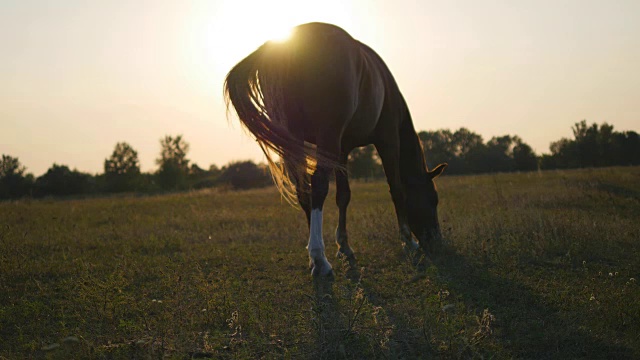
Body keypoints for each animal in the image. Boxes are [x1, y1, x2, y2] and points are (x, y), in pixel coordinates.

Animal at [224, 22, 444, 276]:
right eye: (433, 199)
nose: (436, 242)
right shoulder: (388, 141)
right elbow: (396, 189)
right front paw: (408, 241)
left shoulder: (342, 151)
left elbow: (343, 196)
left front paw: (344, 246)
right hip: (327, 135)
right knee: (318, 184)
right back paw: (319, 259)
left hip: (297, 141)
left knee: (303, 189)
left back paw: (313, 253)